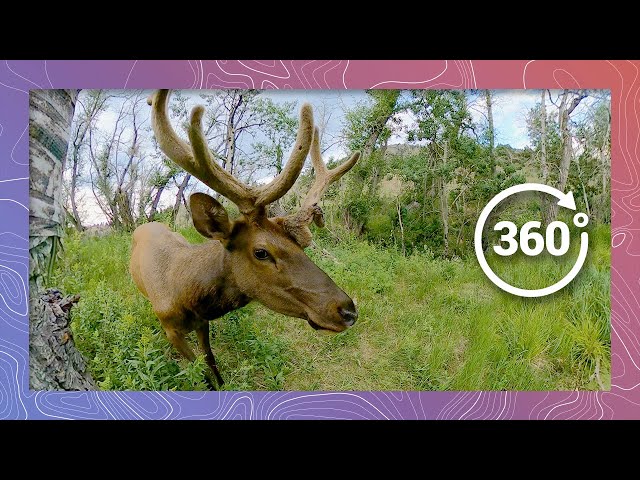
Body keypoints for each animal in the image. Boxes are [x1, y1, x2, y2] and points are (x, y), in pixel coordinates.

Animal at [130, 89, 360, 390]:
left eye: (302, 244)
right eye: (261, 252)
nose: (348, 311)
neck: (185, 292)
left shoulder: (203, 323)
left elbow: (209, 359)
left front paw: (222, 384)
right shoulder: (171, 329)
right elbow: (198, 370)